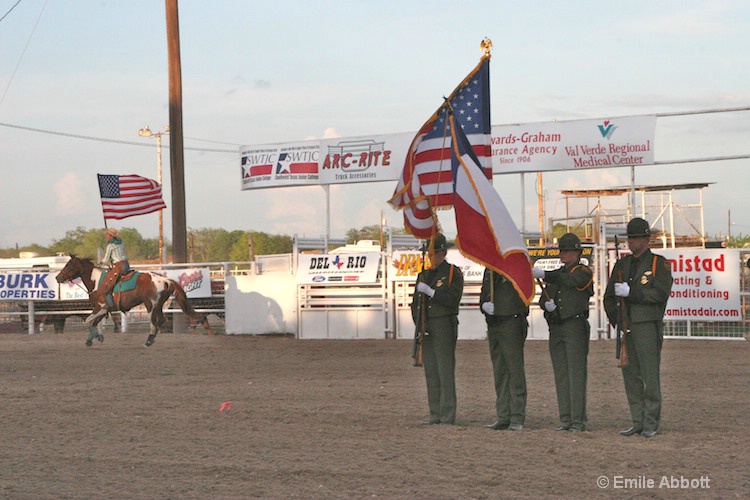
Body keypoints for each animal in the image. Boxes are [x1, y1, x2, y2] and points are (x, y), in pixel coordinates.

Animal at [55, 256, 210, 346]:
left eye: (68, 265)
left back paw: (149, 340)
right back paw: (153, 338)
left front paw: (92, 337)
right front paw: (96, 337)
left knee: (154, 321)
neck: (96, 281)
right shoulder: (102, 309)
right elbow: (95, 322)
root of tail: (165, 280)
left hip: (150, 305)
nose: (57, 277)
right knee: (162, 320)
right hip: (159, 305)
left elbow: (89, 321)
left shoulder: (102, 307)